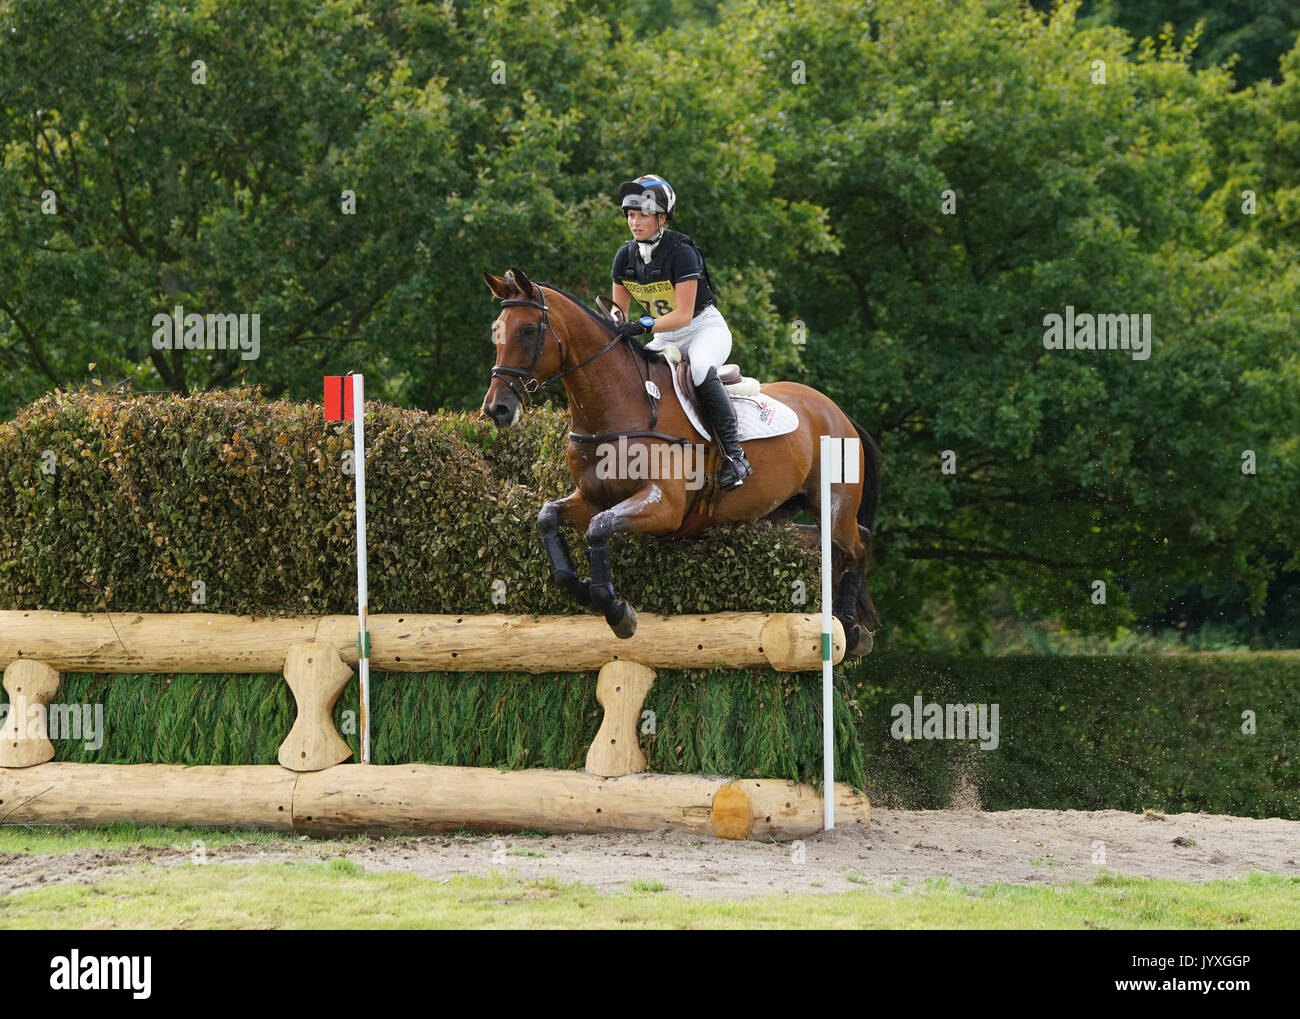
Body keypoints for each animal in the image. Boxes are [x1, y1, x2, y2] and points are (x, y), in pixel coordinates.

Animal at [480, 266, 883, 657]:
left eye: (528, 330)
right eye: (496, 333)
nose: (497, 409)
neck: (616, 404)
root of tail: (835, 411)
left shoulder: (665, 506)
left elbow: (599, 527)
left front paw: (617, 611)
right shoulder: (592, 497)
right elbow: (549, 517)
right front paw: (590, 595)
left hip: (832, 504)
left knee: (857, 543)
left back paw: (851, 628)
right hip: (775, 515)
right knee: (826, 542)